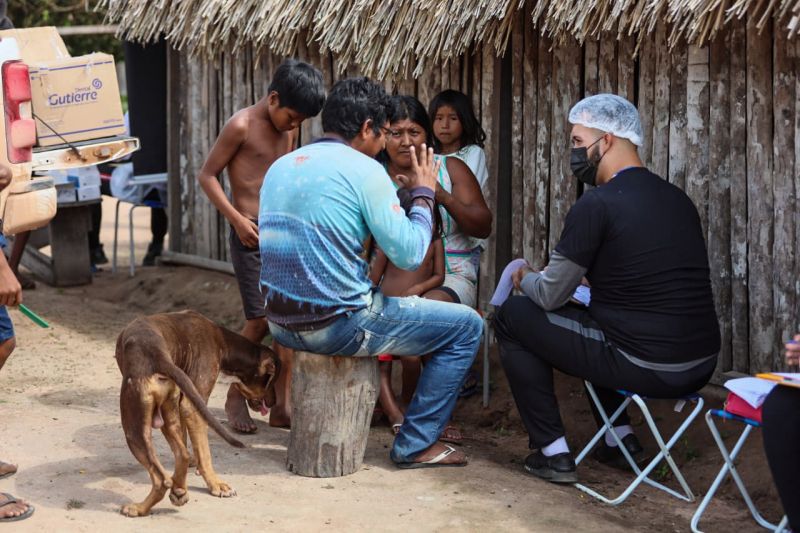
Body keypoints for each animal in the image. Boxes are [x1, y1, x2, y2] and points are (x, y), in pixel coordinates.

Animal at [114, 312, 280, 516]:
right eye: (271, 380)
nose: (274, 402)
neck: (223, 343)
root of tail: (158, 356)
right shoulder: (187, 401)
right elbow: (190, 444)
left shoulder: (190, 404)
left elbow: (202, 451)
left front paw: (211, 481)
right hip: (166, 413)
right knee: (182, 454)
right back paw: (179, 490)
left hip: (134, 427)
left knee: (161, 478)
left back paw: (139, 508)